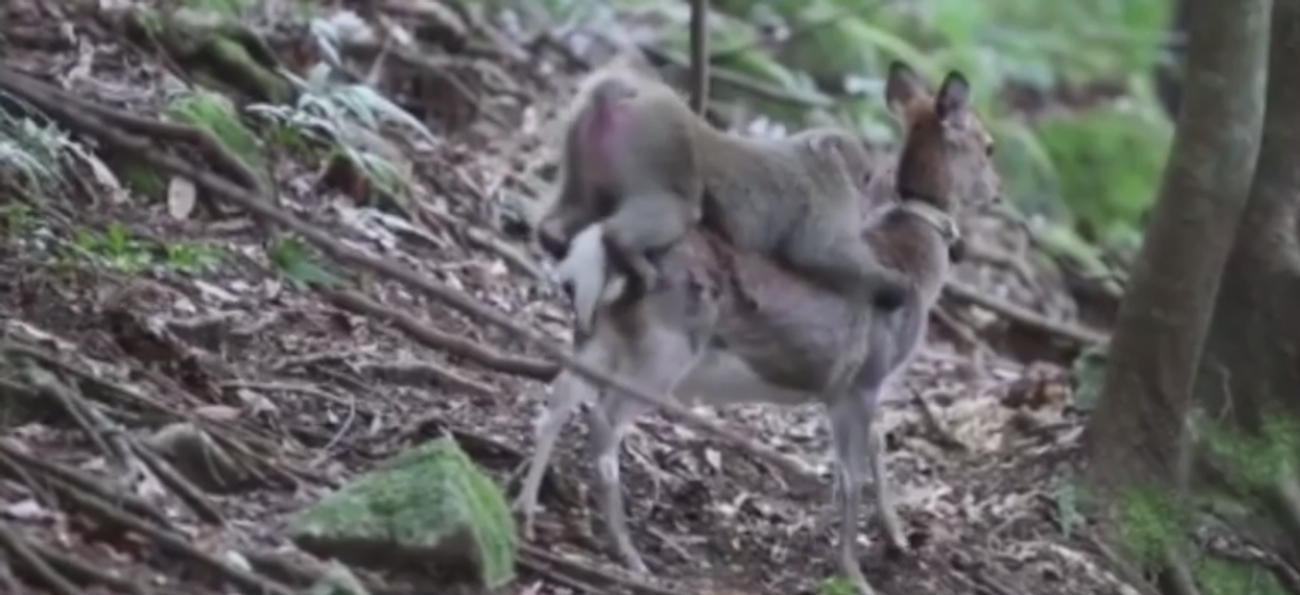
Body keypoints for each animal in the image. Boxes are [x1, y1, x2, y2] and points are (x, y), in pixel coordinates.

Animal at [512, 61, 998, 595]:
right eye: (989, 145)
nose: (997, 192)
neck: (914, 262)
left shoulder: (854, 387)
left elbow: (873, 451)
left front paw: (896, 538)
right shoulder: (864, 377)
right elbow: (849, 477)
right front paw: (853, 573)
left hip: (604, 333)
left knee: (561, 393)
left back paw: (526, 509)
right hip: (665, 345)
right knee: (604, 419)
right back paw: (629, 553)